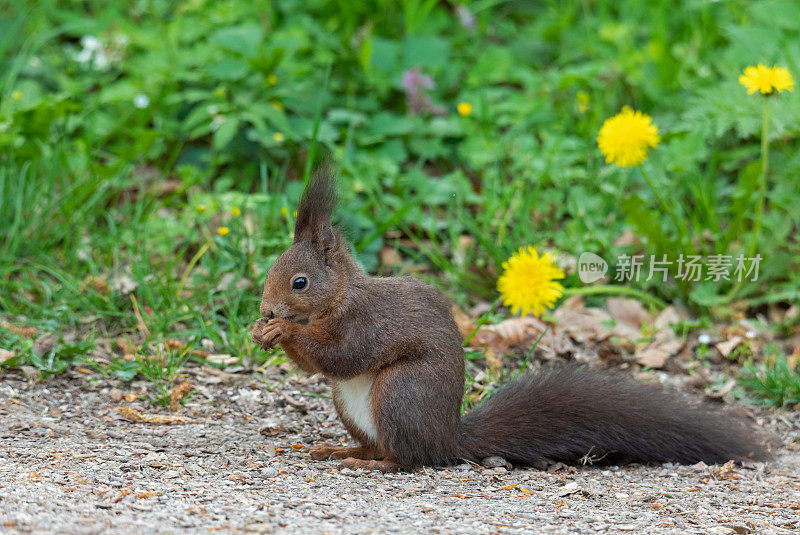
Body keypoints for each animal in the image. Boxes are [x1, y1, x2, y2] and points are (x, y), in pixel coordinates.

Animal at [253, 168, 772, 474]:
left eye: (299, 282)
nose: (264, 310)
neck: (339, 298)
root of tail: (447, 438)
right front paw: (264, 332)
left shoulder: (366, 322)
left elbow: (341, 355)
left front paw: (283, 331)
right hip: (353, 407)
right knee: (379, 447)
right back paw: (342, 451)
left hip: (400, 394)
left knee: (406, 460)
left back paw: (371, 465)